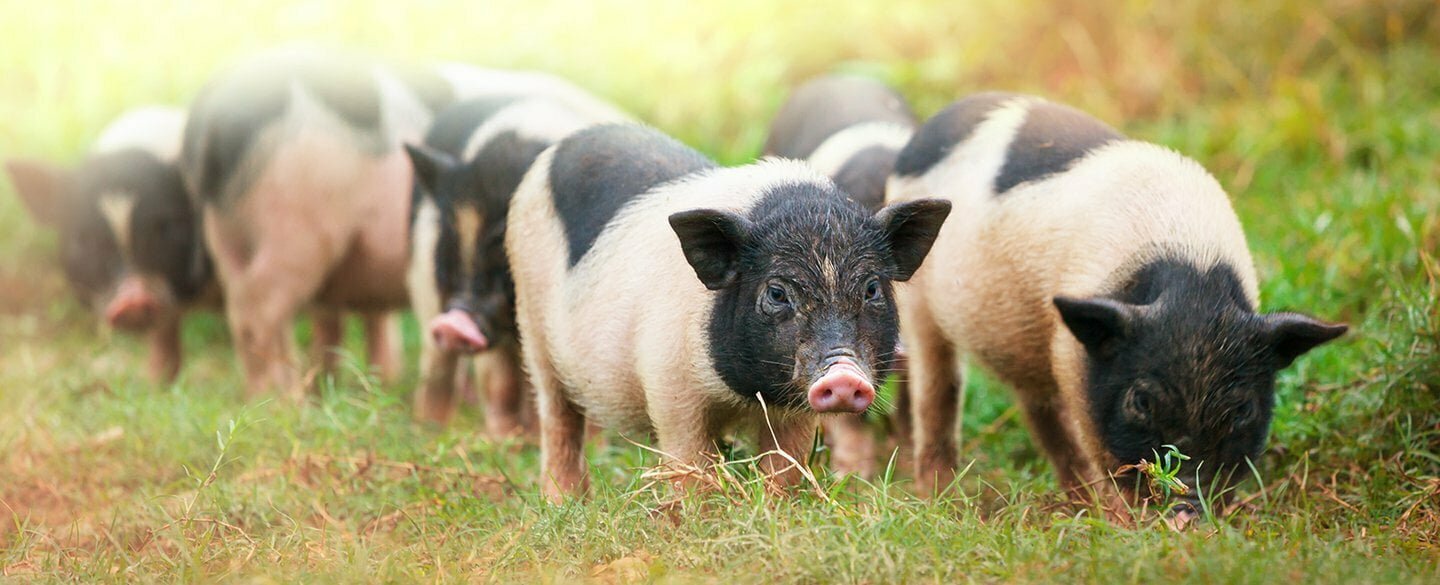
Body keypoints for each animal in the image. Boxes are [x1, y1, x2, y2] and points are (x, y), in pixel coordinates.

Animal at [403, 93, 626, 430]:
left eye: (502, 239)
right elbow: (498, 380)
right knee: (438, 364)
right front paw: (504, 437)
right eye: (449, 237)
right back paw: (430, 428)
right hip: (423, 285)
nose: (456, 322)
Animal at [505, 123, 951, 500]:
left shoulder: (795, 408)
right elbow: (690, 463)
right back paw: (564, 502)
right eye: (777, 292)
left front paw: (777, 511)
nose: (843, 376)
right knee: (558, 418)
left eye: (872, 288)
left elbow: (785, 466)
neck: (744, 394)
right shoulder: (667, 382)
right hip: (530, 320)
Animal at [887, 92, 1348, 520]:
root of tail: (924, 133)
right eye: (1141, 401)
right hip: (917, 305)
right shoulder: (1071, 359)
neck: (1193, 279)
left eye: (1243, 408)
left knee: (1038, 410)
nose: (1186, 510)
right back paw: (939, 498)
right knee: (937, 391)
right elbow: (1102, 450)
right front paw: (1125, 523)